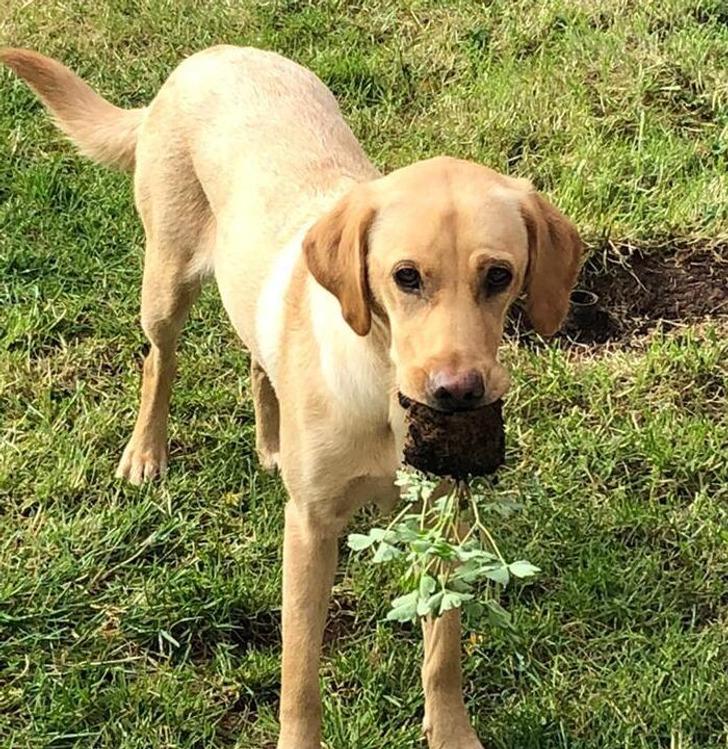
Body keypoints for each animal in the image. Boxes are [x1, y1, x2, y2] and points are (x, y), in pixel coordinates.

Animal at [0, 45, 580, 744]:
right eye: (405, 277)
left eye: (499, 275)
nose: (457, 393)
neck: (383, 392)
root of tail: (209, 55)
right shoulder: (309, 527)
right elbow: (299, 669)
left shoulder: (442, 518)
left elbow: (443, 649)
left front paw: (451, 733)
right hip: (165, 282)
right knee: (159, 362)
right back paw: (145, 452)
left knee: (258, 359)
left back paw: (270, 442)